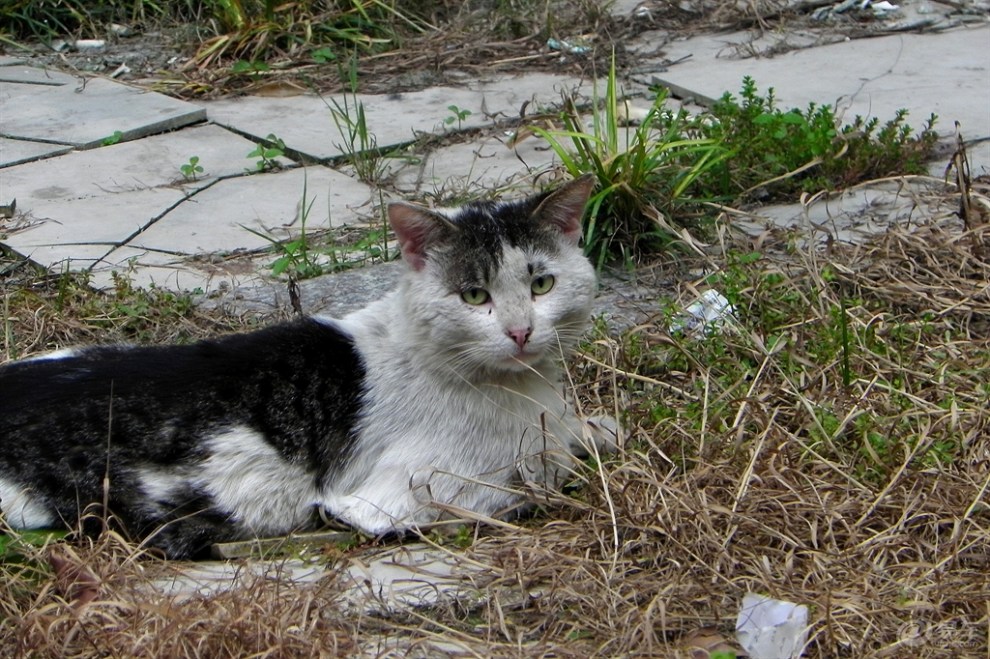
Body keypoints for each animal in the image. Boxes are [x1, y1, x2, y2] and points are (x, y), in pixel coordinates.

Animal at [0, 174, 612, 556]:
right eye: (474, 296)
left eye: (541, 285)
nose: (520, 331)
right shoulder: (385, 500)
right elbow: (536, 479)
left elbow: (582, 435)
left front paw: (593, 428)